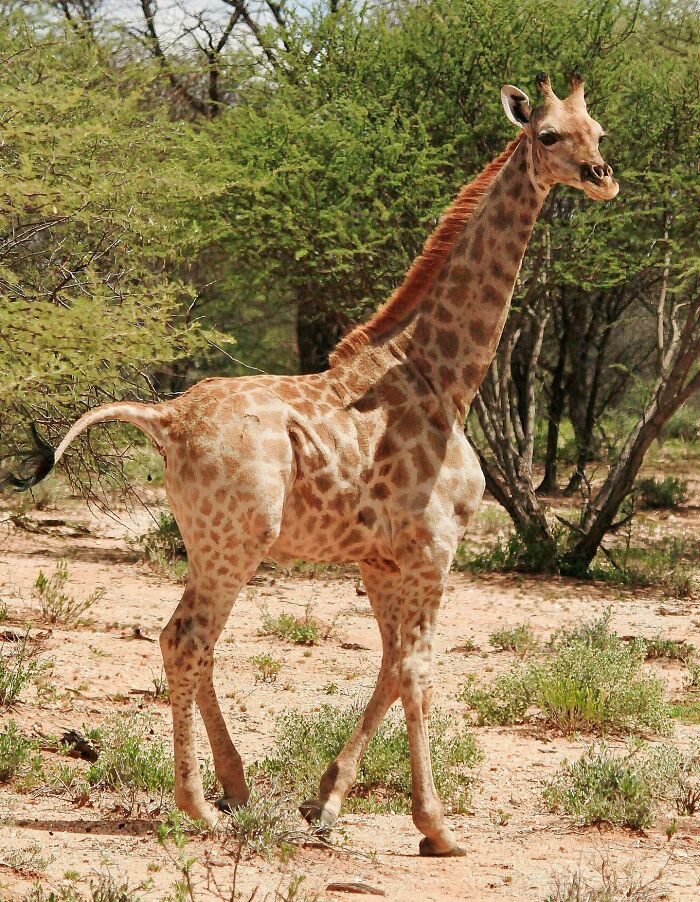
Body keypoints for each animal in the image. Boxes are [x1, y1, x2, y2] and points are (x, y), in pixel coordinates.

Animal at [2, 73, 618, 856]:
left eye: (598, 130)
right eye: (548, 134)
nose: (602, 177)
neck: (445, 375)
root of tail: (165, 421)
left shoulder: (380, 558)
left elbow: (389, 664)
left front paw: (324, 803)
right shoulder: (434, 548)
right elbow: (417, 670)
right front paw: (437, 828)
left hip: (207, 540)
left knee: (195, 641)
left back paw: (233, 788)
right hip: (239, 540)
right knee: (185, 639)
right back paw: (199, 807)